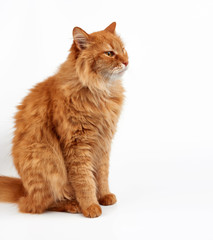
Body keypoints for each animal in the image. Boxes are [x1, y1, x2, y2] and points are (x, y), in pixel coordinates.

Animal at [0, 22, 128, 218]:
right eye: (109, 53)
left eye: (123, 50)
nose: (126, 61)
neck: (100, 90)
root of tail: (24, 189)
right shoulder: (77, 144)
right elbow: (84, 180)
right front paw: (91, 206)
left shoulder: (104, 143)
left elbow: (102, 175)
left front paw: (104, 196)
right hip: (47, 159)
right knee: (36, 205)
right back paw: (72, 205)